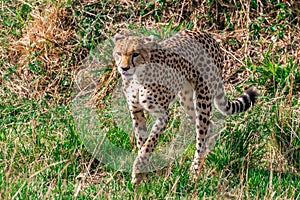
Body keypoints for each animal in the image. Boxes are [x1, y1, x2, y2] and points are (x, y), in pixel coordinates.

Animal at [112, 29, 258, 184]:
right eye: (119, 53)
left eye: (135, 54)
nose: (124, 68)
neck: (137, 79)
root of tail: (206, 34)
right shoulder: (136, 110)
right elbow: (142, 141)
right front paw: (142, 173)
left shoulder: (164, 114)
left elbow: (150, 142)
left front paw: (139, 168)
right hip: (186, 99)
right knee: (209, 126)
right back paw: (206, 157)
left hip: (203, 97)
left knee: (201, 134)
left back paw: (194, 171)